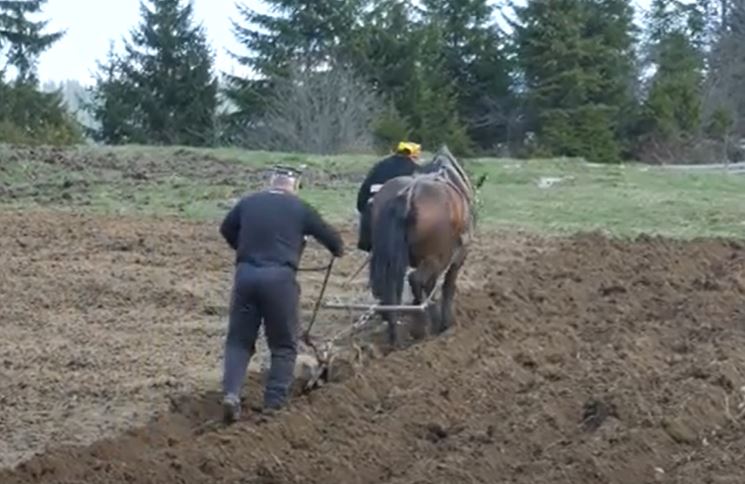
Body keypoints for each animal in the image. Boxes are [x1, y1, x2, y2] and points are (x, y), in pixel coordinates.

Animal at [368, 146, 482, 346]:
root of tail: (407, 194)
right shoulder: (456, 256)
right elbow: (447, 286)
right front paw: (444, 323)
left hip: (390, 257)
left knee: (389, 287)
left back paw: (395, 334)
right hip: (435, 257)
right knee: (416, 279)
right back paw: (421, 327)